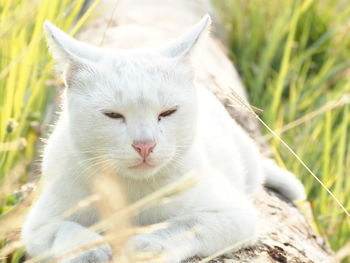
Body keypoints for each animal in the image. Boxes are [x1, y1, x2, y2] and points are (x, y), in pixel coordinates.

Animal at [22, 14, 306, 263]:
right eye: (113, 115)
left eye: (168, 113)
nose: (144, 145)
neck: (132, 190)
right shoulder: (37, 224)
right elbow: (64, 230)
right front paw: (88, 250)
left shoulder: (235, 214)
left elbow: (187, 223)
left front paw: (147, 245)